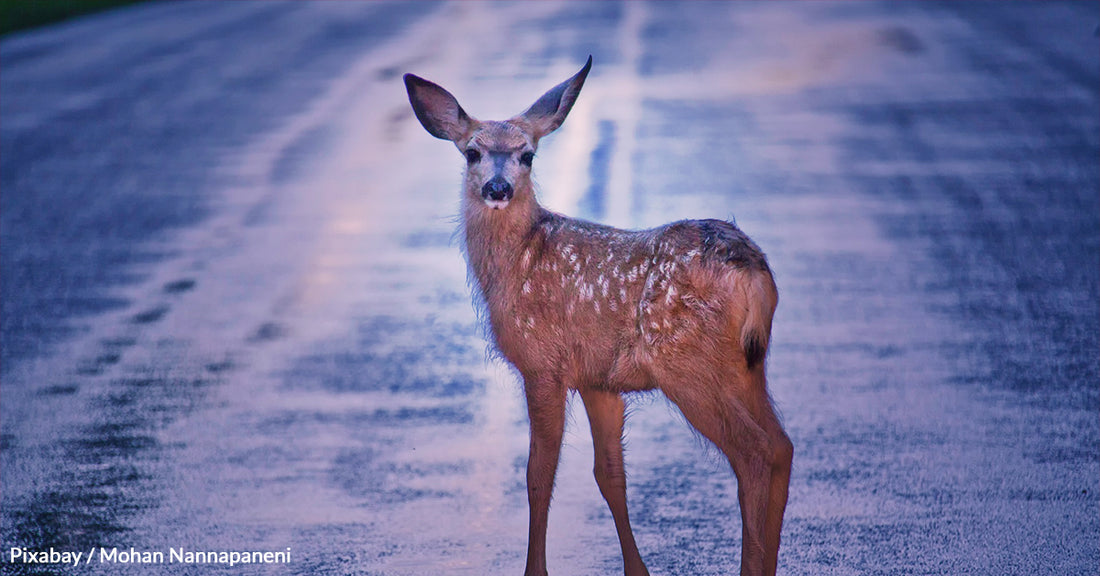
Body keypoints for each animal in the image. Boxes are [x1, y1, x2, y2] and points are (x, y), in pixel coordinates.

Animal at [404, 56, 792, 576]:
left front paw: (535, 570)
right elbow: (609, 475)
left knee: (756, 453)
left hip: (688, 362)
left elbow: (538, 474)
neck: (518, 262)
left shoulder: (543, 363)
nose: (497, 187)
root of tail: (752, 269)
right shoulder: (598, 379)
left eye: (527, 155)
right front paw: (637, 571)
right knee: (783, 446)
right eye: (472, 152)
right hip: (749, 365)